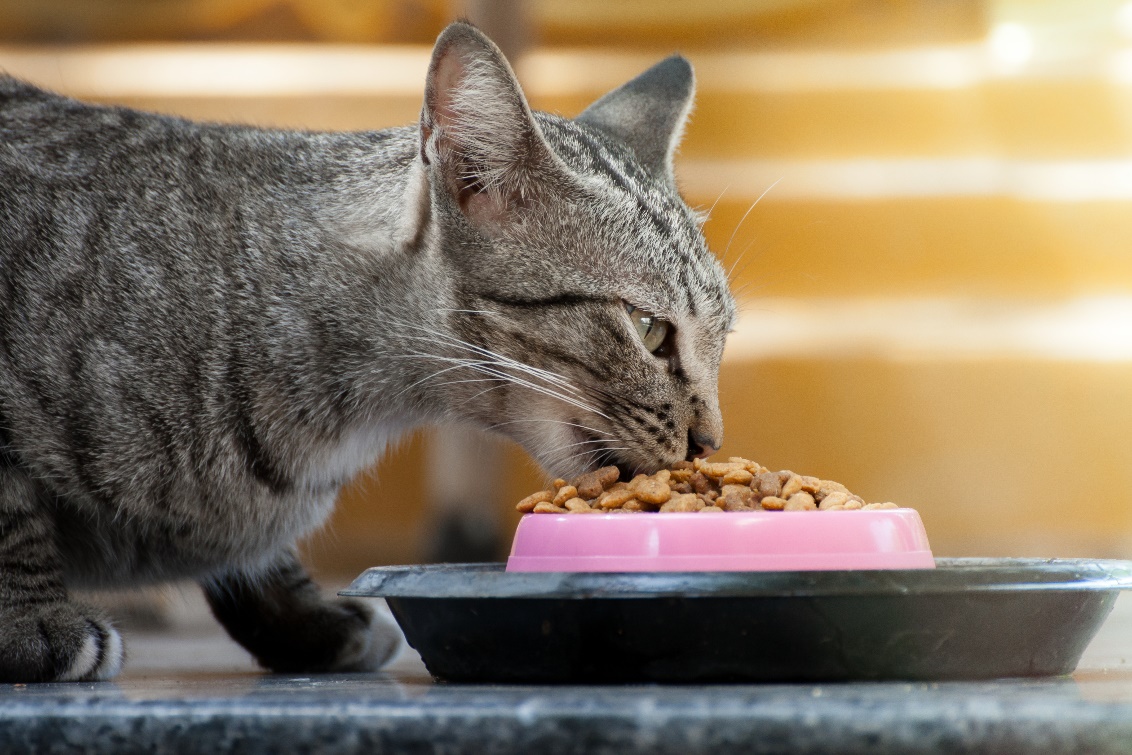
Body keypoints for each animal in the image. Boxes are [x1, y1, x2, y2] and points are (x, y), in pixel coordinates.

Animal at [0, 20, 733, 683]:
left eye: (723, 337)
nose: (710, 441)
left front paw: (304, 620)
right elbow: (14, 515)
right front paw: (32, 624)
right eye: (647, 327)